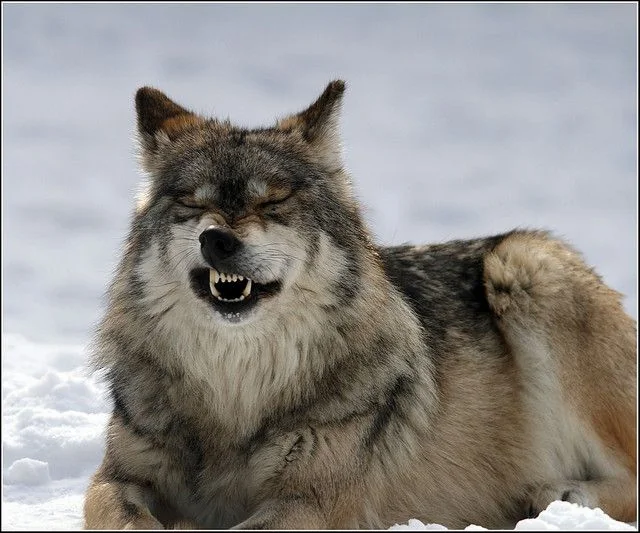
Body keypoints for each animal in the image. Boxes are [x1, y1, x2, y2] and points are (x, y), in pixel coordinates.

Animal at [83, 80, 637, 530]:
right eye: (193, 204)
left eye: (273, 202)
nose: (216, 240)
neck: (235, 392)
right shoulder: (116, 477)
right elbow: (121, 514)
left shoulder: (312, 500)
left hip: (524, 261)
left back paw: (561, 494)